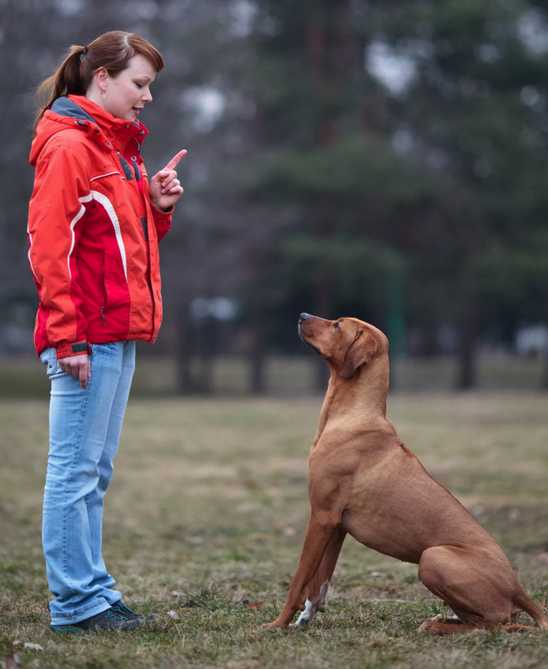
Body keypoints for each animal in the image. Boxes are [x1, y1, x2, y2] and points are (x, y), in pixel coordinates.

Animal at [264, 310, 544, 636]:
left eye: (337, 325)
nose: (302, 315)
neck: (353, 416)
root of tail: (518, 587)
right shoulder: (336, 525)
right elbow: (319, 582)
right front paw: (304, 619)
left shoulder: (322, 516)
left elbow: (299, 579)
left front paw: (278, 623)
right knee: (485, 620)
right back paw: (440, 621)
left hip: (433, 557)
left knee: (494, 623)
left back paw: (436, 626)